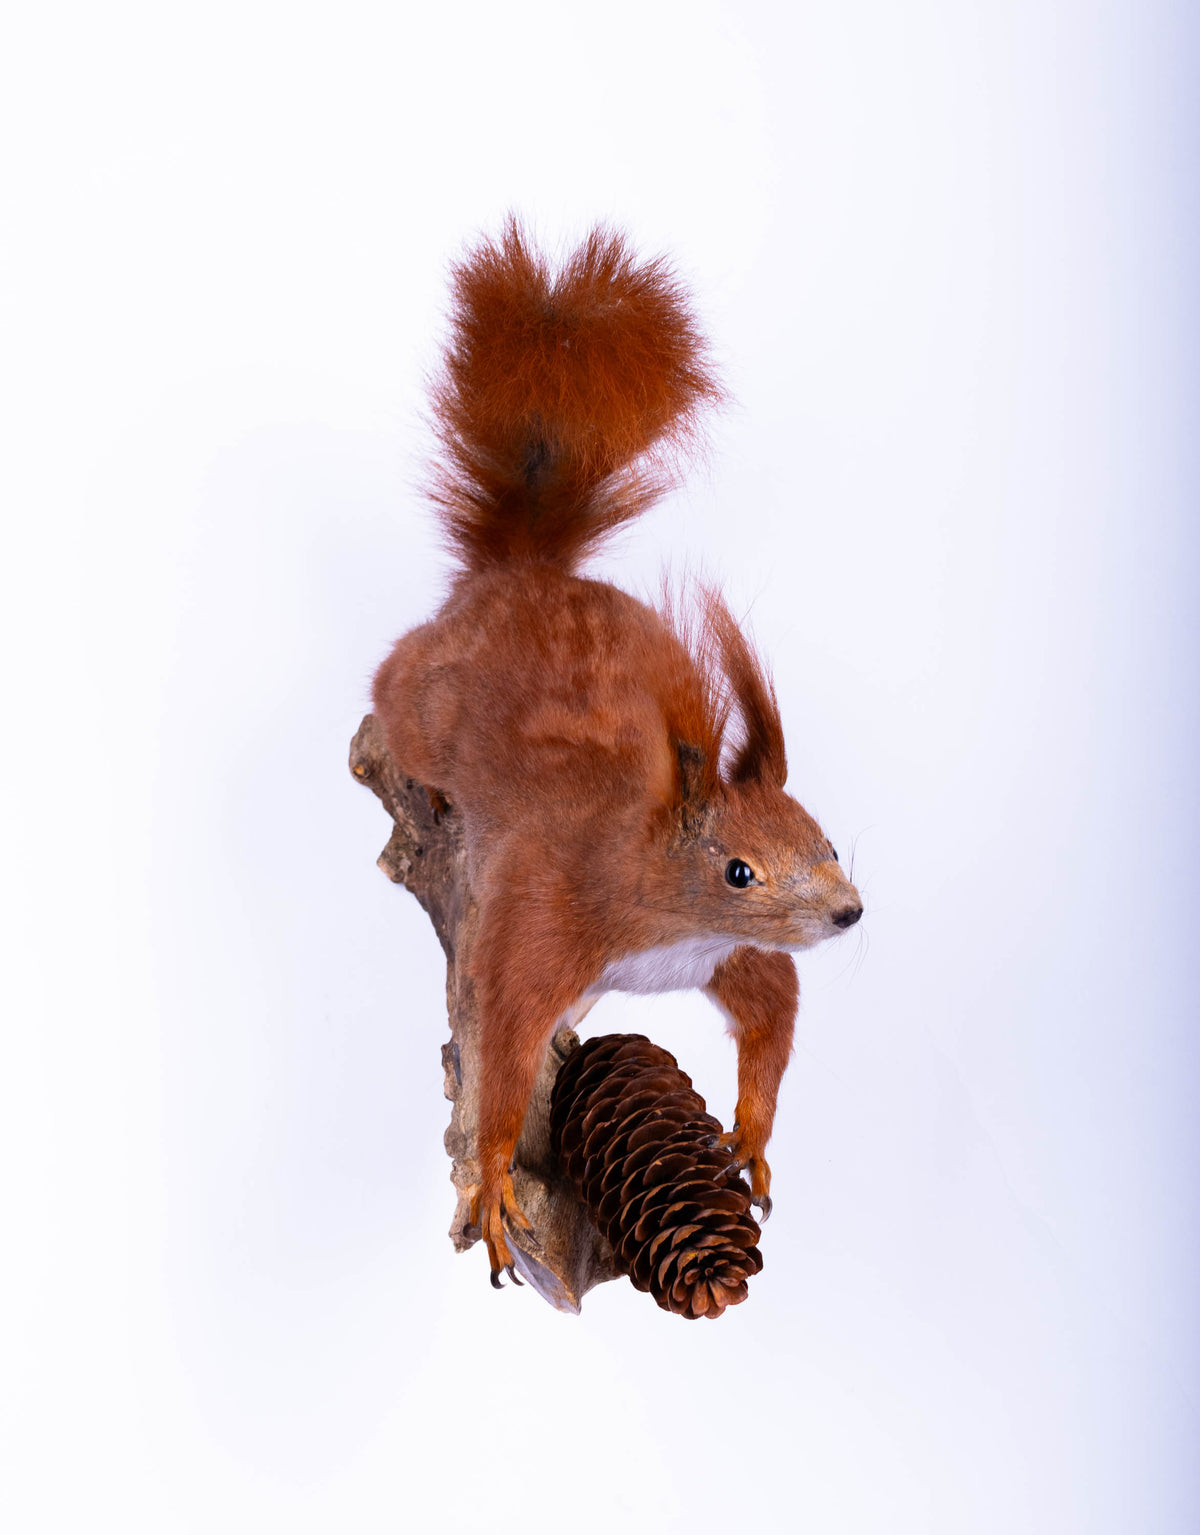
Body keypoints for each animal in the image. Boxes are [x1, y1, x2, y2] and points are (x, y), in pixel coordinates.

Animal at [373, 220, 862, 1287]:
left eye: (829, 840)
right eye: (738, 869)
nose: (847, 912)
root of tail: (519, 575)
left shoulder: (725, 954)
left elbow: (774, 1010)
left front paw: (752, 1135)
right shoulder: (546, 924)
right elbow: (503, 1044)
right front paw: (495, 1180)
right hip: (418, 700)